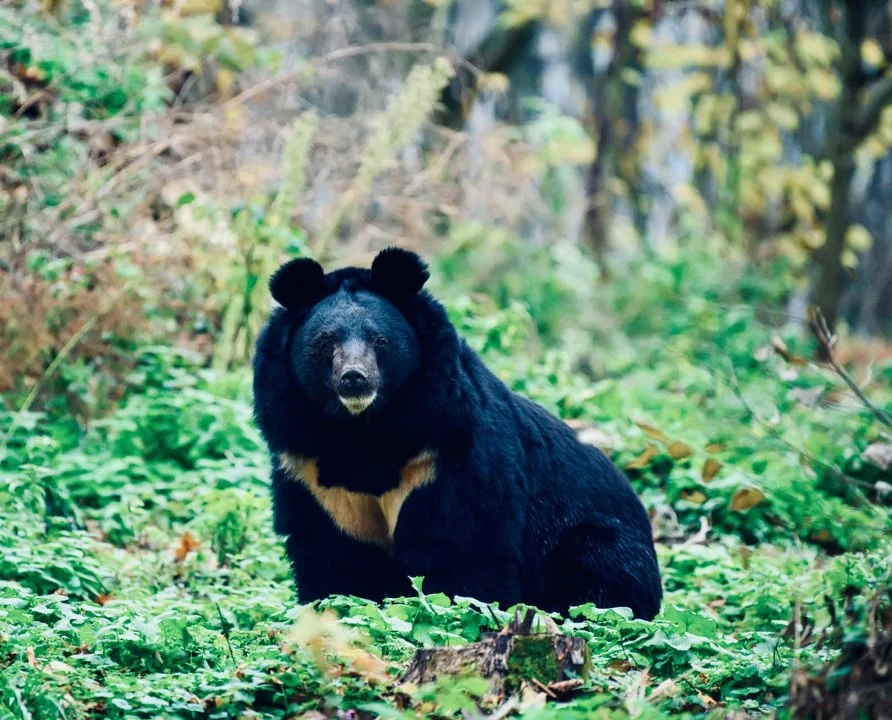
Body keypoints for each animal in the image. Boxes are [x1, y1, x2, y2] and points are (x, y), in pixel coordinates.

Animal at [252, 247, 662, 619]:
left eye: (379, 340)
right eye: (325, 342)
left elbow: (462, 545)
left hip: (596, 541)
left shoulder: (446, 453)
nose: (355, 378)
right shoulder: (313, 475)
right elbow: (332, 555)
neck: (364, 429)